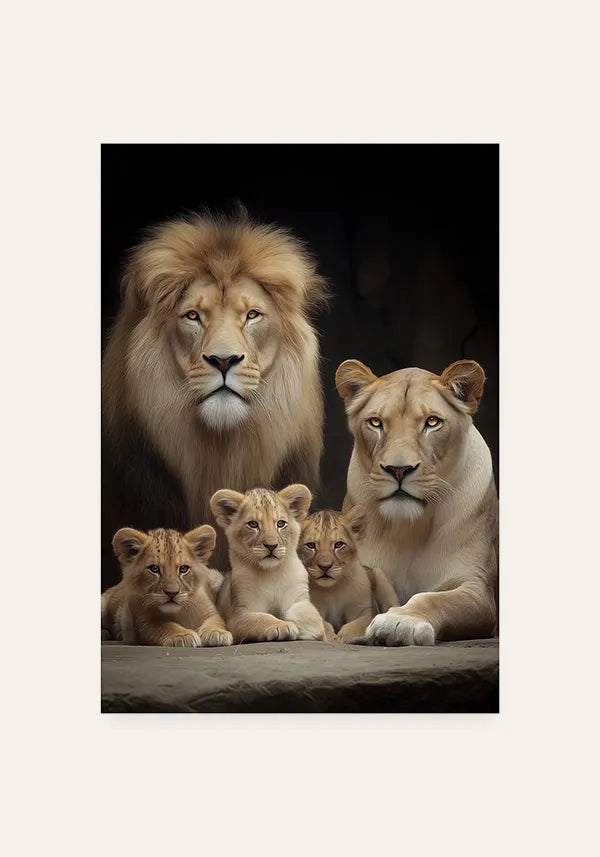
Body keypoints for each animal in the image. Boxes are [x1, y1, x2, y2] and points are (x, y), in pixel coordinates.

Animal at [101, 525, 233, 647]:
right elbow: (165, 626)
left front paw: (217, 633)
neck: (177, 613)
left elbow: (216, 620)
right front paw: (183, 635)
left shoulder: (210, 610)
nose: (172, 593)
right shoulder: (142, 623)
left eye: (183, 569)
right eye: (154, 568)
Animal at [210, 484, 325, 644]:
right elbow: (262, 618)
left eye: (281, 523)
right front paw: (282, 625)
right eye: (253, 524)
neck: (272, 573)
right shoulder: (238, 615)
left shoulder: (299, 599)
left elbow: (313, 619)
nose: (272, 546)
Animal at [298, 507, 399, 643]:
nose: (325, 567)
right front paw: (331, 637)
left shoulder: (363, 609)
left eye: (338, 545)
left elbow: (357, 624)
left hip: (379, 575)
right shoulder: (315, 607)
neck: (334, 588)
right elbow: (323, 623)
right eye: (311, 545)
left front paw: (343, 637)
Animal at [335, 358, 498, 646]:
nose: (398, 470)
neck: (409, 528)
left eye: (432, 422)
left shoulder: (476, 586)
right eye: (375, 422)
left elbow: (435, 599)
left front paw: (400, 621)